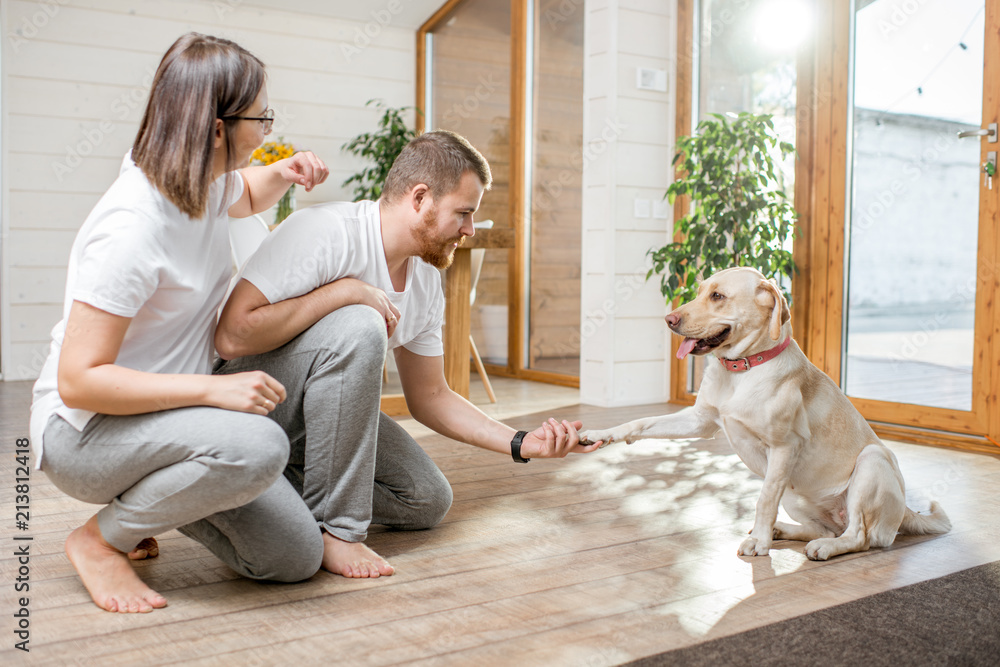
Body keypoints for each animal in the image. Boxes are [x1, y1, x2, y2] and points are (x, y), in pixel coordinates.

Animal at [576, 268, 948, 560]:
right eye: (699, 291)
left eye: (718, 296)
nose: (669, 320)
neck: (741, 369)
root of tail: (906, 512)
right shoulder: (700, 421)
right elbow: (640, 422)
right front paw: (599, 434)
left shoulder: (784, 448)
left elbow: (763, 500)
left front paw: (758, 543)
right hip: (796, 495)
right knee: (827, 529)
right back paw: (784, 531)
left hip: (872, 462)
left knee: (859, 536)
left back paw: (820, 547)